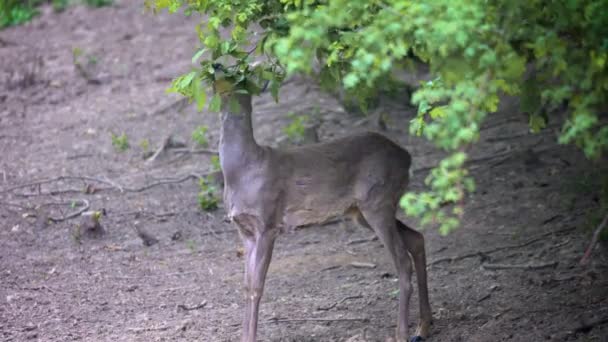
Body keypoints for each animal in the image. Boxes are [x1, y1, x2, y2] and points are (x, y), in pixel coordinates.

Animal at [215, 70, 432, 342]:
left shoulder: (268, 223)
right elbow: (245, 286)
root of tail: (407, 157)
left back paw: (402, 333)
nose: (216, 67)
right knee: (417, 239)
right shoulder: (244, 230)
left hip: (378, 200)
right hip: (364, 210)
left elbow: (257, 287)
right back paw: (422, 327)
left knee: (402, 262)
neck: (242, 172)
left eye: (240, 78)